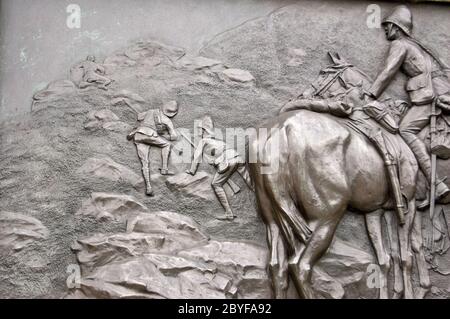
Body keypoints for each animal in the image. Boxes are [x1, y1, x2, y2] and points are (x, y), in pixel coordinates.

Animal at [248, 52, 430, 300]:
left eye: (323, 73)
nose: (301, 95)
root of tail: (280, 131)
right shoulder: (407, 203)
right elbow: (405, 256)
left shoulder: (374, 211)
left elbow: (385, 259)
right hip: (325, 218)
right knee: (300, 265)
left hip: (273, 221)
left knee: (277, 267)